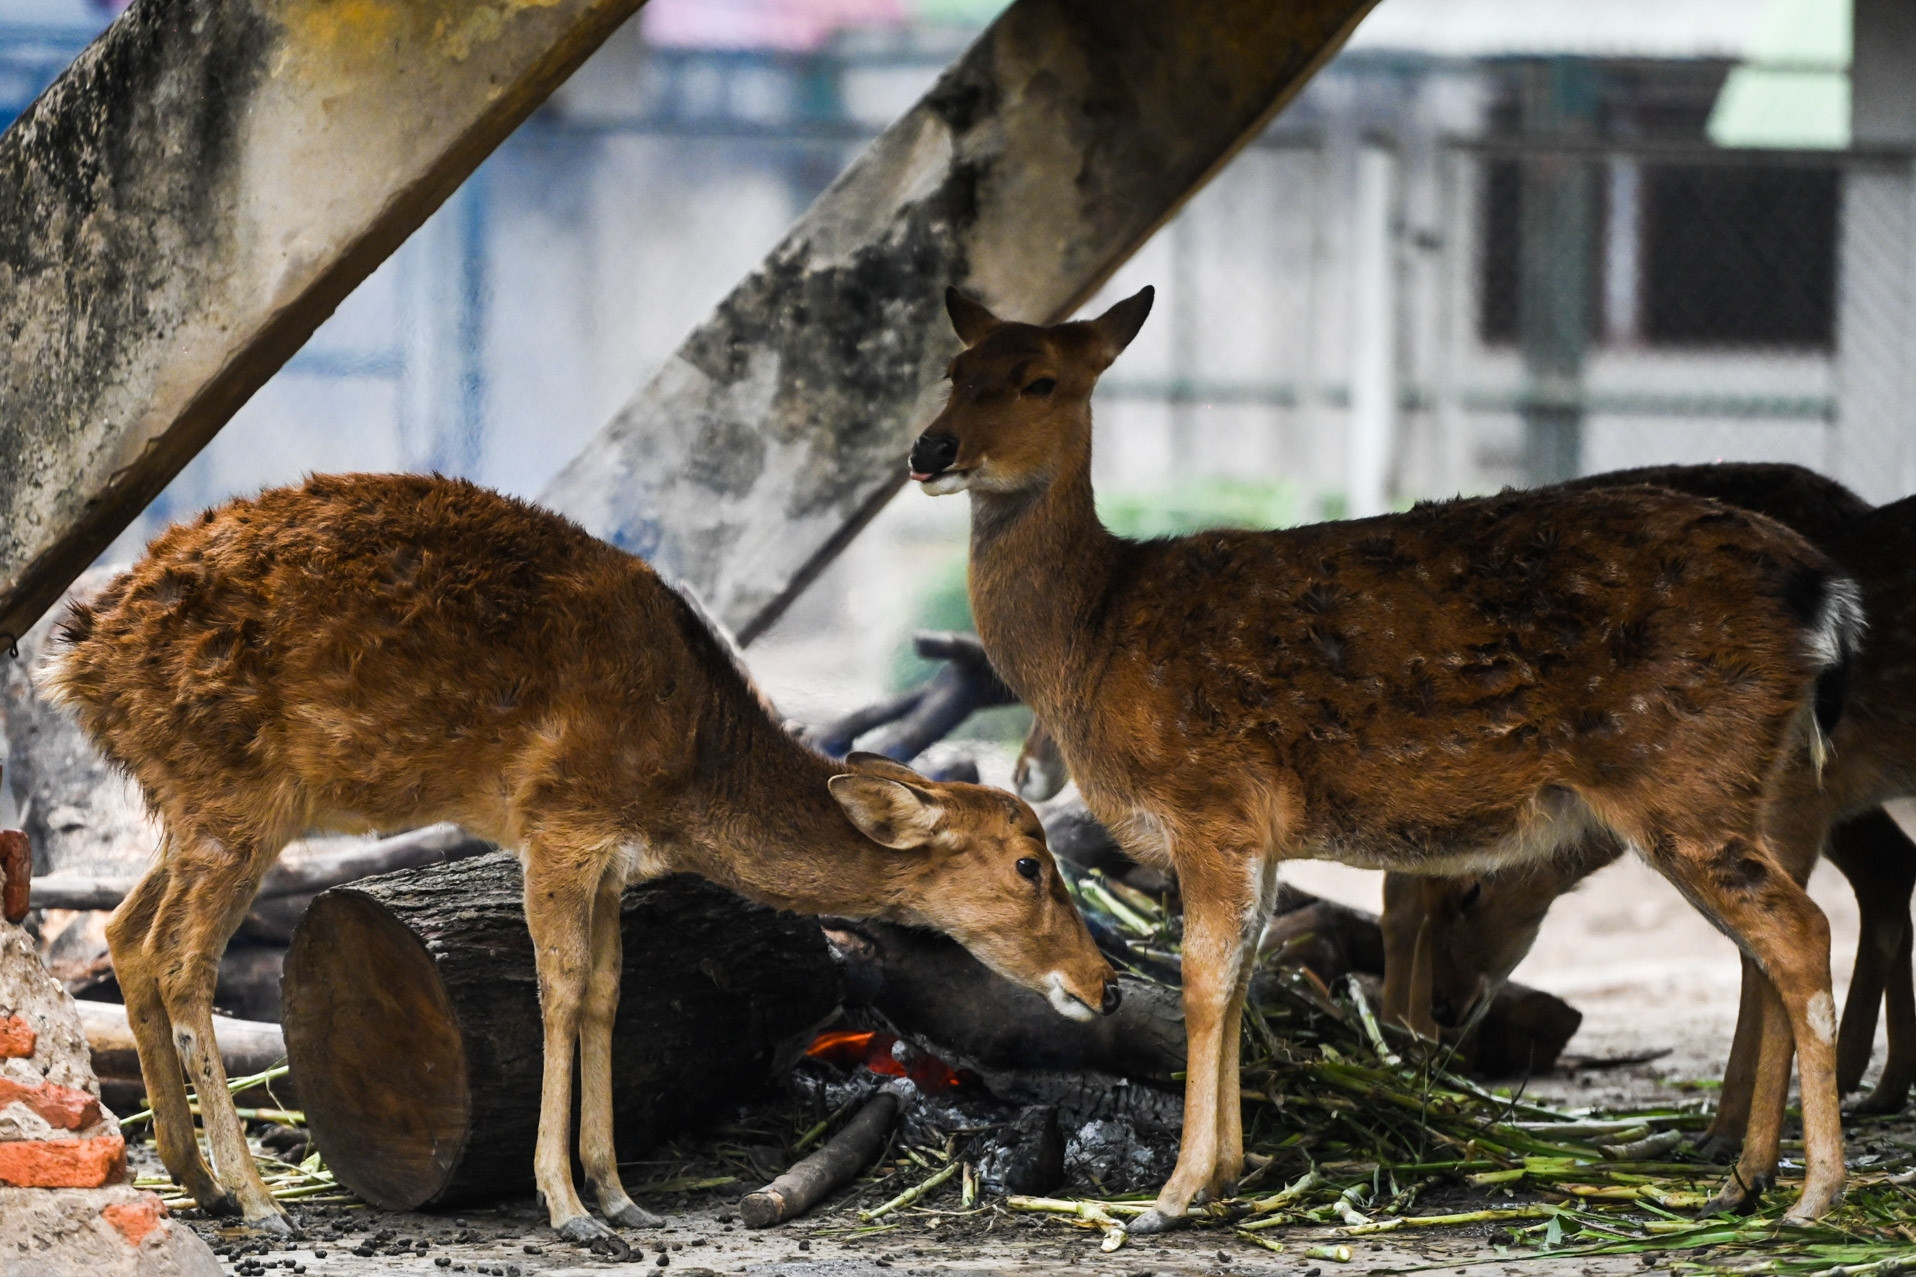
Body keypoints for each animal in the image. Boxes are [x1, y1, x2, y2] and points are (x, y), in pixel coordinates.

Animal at [45, 475, 1118, 1242]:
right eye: (1030, 865)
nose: (1104, 986)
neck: (687, 772)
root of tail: (76, 663)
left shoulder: (609, 861)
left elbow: (605, 991)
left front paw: (619, 1193)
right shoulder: (558, 821)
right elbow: (556, 991)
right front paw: (565, 1207)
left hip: (197, 802)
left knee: (125, 929)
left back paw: (196, 1182)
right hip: (234, 793)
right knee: (183, 958)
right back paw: (257, 1197)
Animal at [1387, 465, 1916, 1127]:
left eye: (1471, 888)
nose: (1441, 1009)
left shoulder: (1796, 803)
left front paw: (1726, 1130)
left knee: (1881, 872)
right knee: (1892, 866)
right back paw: (1878, 1082)